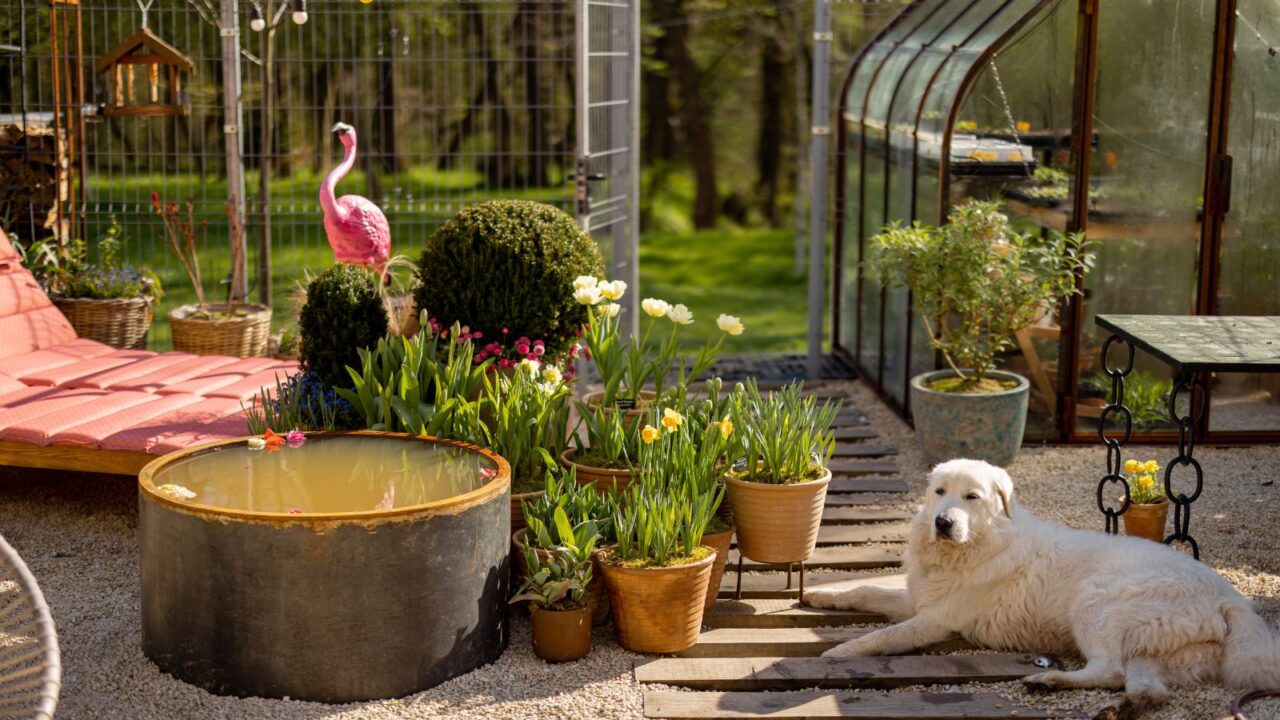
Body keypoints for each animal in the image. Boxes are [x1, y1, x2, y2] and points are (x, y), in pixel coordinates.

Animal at [803, 456, 1274, 712]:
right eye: (939, 492)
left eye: (971, 497)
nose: (942, 522)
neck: (976, 545)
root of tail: (1231, 597)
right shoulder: (918, 600)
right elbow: (865, 591)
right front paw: (823, 595)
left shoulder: (936, 620)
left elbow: (881, 637)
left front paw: (838, 653)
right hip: (1153, 649)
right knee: (1146, 688)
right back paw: (1114, 706)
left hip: (1095, 601)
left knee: (1110, 668)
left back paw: (1051, 681)